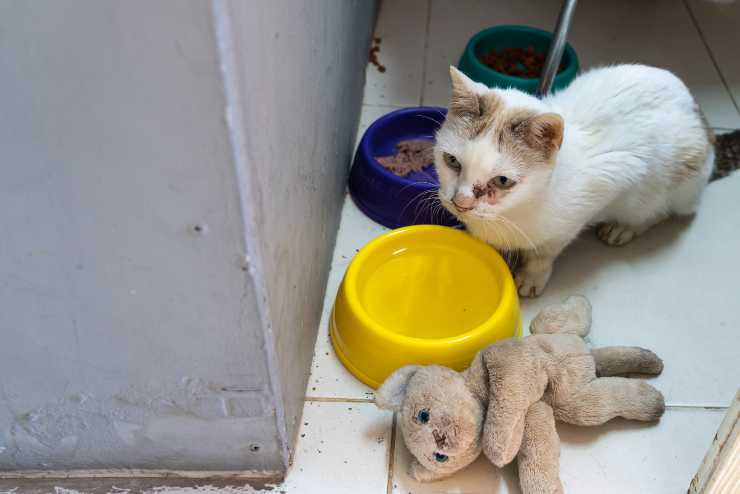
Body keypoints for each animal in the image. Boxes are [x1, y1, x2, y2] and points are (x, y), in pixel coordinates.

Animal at [434, 65, 716, 298]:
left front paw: (532, 275)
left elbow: (545, 252)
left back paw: (624, 227)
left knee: (658, 210)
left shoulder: (606, 186)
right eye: (452, 161)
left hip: (679, 182)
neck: (513, 213)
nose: (461, 203)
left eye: (502, 181)